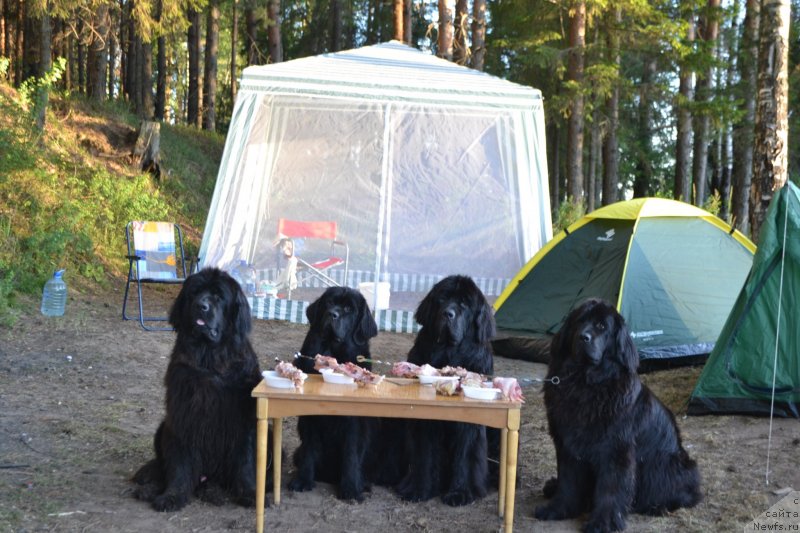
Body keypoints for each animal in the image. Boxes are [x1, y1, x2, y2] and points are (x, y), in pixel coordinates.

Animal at [132, 268, 268, 512]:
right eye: (194, 293)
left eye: (218, 296)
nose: (201, 306)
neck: (210, 359)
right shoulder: (184, 416)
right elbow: (179, 465)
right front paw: (173, 496)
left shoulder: (244, 422)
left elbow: (246, 462)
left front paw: (251, 495)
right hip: (163, 427)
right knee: (163, 466)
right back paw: (147, 487)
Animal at [288, 284, 378, 500]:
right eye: (329, 303)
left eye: (348, 309)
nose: (332, 314)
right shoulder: (309, 419)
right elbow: (310, 449)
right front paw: (303, 481)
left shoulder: (353, 423)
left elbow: (351, 455)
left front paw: (351, 489)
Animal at [390, 276, 496, 504]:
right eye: (442, 300)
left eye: (464, 304)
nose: (448, 313)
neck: (449, 353)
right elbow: (424, 453)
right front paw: (418, 489)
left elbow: (465, 454)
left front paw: (460, 493)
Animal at [536, 298, 700, 528]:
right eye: (579, 322)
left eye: (602, 326)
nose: (583, 337)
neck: (585, 384)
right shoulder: (567, 442)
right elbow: (567, 480)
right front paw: (557, 509)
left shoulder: (616, 448)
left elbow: (611, 487)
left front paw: (603, 522)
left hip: (669, 466)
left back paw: (657, 506)